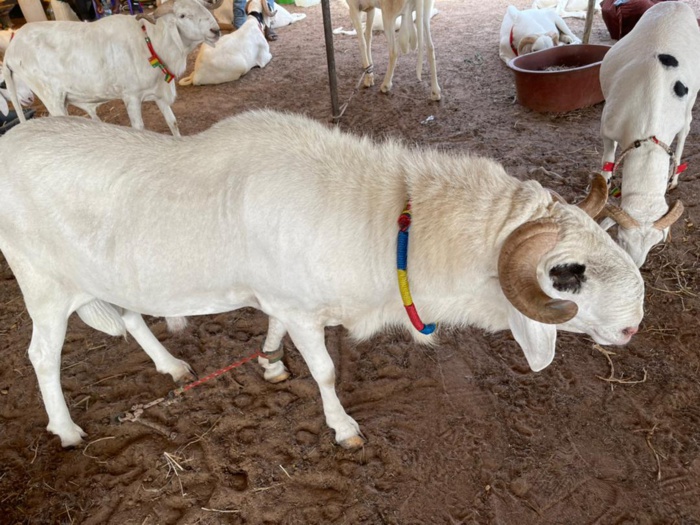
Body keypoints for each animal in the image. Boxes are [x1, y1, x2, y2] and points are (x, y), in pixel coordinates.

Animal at [0, 110, 644, 449]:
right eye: (567, 274)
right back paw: (66, 429)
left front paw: (269, 362)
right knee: (41, 356)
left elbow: (273, 329)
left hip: (100, 273)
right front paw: (343, 427)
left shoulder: (284, 300)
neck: (389, 221)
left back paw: (172, 366)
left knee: (132, 314)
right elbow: (328, 371)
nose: (633, 328)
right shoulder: (301, 307)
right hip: (43, 284)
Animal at [1, 0, 222, 137]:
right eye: (182, 15)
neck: (150, 42)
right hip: (51, 97)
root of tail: (12, 48)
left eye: (203, 7)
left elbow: (173, 122)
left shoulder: (158, 93)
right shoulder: (131, 96)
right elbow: (139, 128)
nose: (216, 30)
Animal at [597, 1, 699, 268]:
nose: (636, 266)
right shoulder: (607, 129)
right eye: (621, 238)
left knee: (685, 132)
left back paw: (674, 178)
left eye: (654, 244)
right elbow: (607, 161)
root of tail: (677, 4)